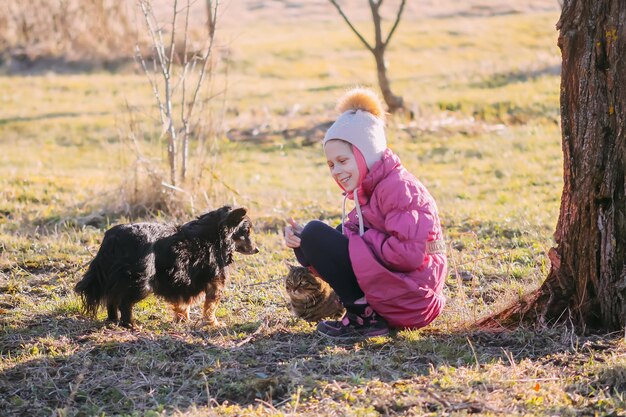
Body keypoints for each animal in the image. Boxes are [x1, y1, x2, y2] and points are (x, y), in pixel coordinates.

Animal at [74, 206, 258, 326]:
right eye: (247, 232)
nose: (257, 249)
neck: (216, 233)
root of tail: (113, 237)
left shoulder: (182, 281)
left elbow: (183, 305)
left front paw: (182, 320)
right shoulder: (215, 282)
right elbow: (210, 307)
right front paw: (213, 324)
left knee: (111, 300)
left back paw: (113, 320)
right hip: (140, 282)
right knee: (124, 303)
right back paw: (130, 324)